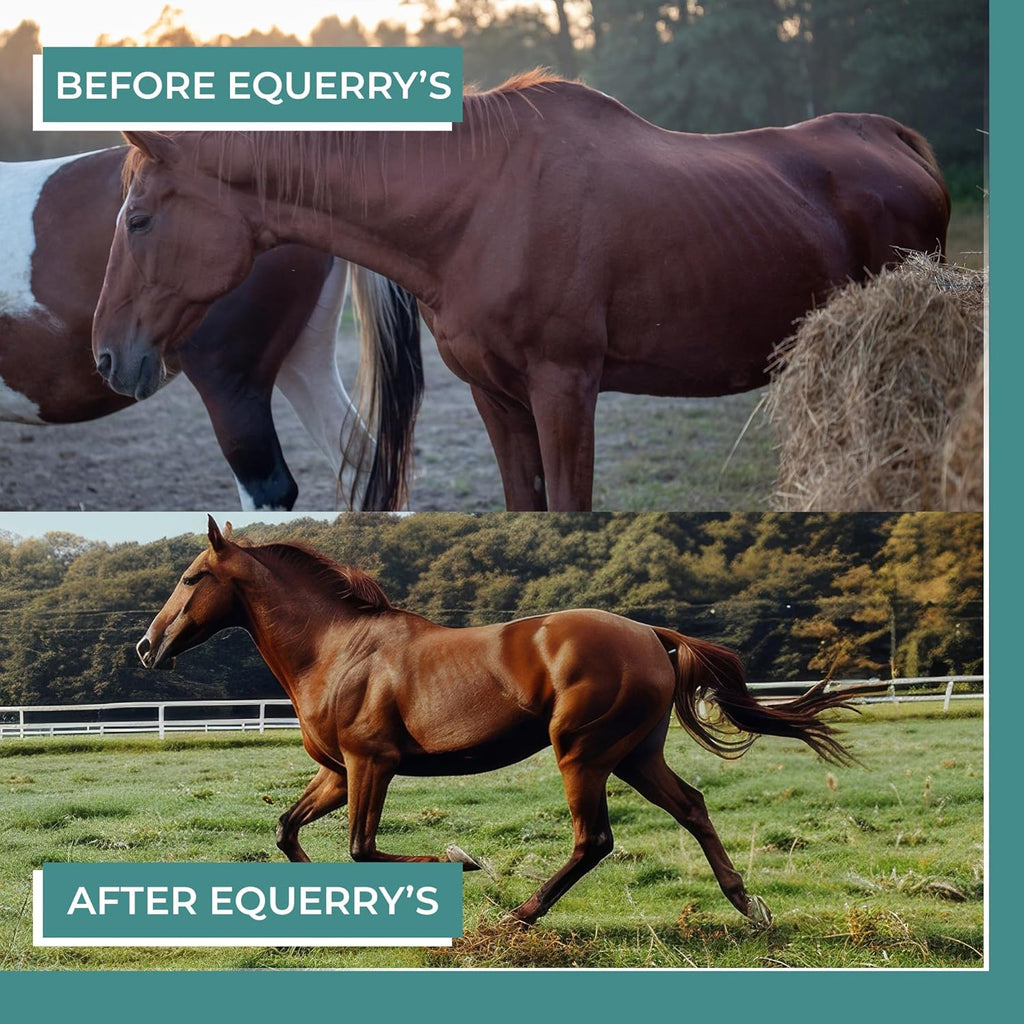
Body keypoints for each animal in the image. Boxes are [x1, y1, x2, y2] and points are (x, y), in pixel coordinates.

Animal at [1, 147, 422, 510]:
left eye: (138, 222)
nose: (105, 357)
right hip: (304, 361)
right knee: (362, 466)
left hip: (230, 386)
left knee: (269, 488)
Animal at [91, 72, 951, 511]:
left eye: (138, 218)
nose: (106, 356)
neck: (480, 202)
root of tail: (895, 140)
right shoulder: (496, 397)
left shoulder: (565, 389)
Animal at [136, 516, 859, 926]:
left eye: (192, 577)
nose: (147, 646)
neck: (337, 650)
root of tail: (653, 634)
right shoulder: (339, 773)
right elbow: (288, 831)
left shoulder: (372, 764)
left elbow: (362, 849)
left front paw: (464, 860)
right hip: (634, 754)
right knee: (692, 806)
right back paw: (748, 905)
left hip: (582, 753)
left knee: (594, 840)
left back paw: (520, 916)